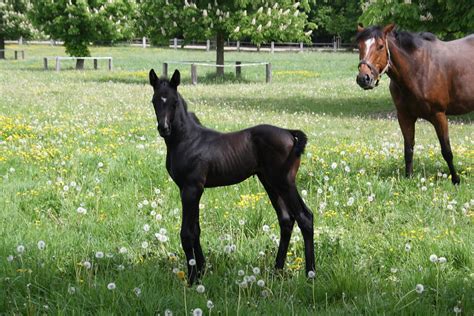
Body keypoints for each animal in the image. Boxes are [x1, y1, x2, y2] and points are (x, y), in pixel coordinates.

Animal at [146, 68, 312, 284]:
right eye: (154, 100)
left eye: (174, 101)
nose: (164, 128)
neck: (187, 140)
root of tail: (289, 133)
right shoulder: (192, 190)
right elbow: (196, 230)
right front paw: (201, 270)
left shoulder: (191, 188)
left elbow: (187, 233)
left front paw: (192, 279)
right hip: (270, 182)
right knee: (286, 220)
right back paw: (276, 270)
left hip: (285, 182)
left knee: (305, 217)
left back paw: (310, 275)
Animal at [358, 24, 472, 184]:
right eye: (359, 46)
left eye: (380, 46)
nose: (363, 78)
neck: (417, 69)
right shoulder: (405, 116)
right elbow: (408, 149)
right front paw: (408, 177)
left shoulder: (439, 116)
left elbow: (446, 150)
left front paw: (456, 180)